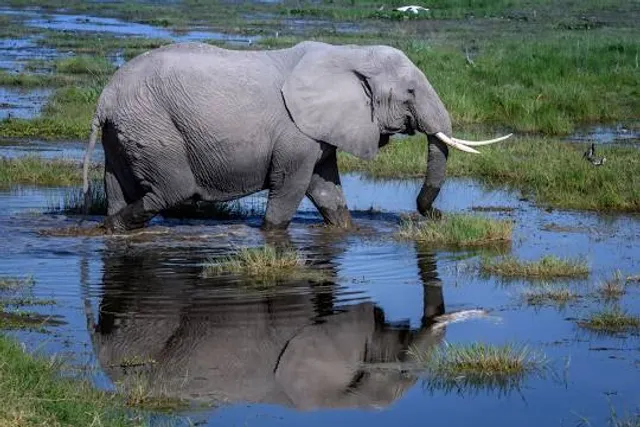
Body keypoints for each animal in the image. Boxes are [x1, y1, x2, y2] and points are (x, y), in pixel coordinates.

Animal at [81, 41, 511, 232]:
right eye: (409, 92)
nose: (436, 216)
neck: (348, 54)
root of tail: (103, 100)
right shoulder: (295, 133)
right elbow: (291, 187)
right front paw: (272, 236)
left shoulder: (318, 133)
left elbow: (326, 188)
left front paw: (347, 232)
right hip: (154, 126)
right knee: (174, 190)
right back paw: (114, 227)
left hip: (127, 130)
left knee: (118, 186)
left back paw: (109, 226)